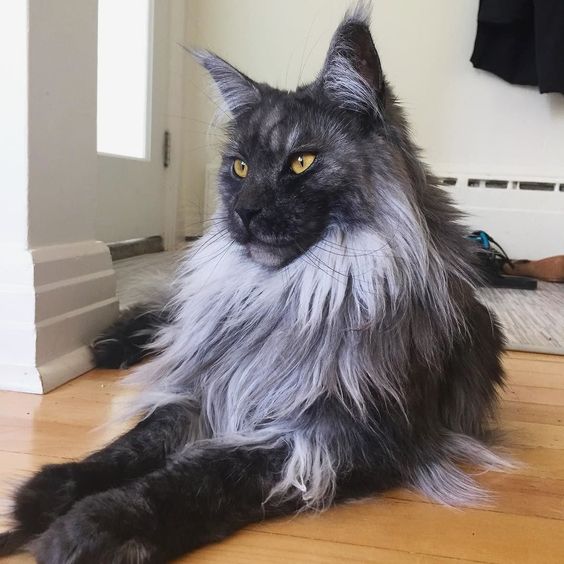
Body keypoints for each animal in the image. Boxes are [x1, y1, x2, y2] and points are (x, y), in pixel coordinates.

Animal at [0, 5, 508, 564]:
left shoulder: (341, 433)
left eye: (301, 162)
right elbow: (135, 443)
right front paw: (50, 492)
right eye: (239, 168)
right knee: (166, 318)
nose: (244, 213)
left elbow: (203, 477)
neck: (287, 296)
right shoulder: (207, 386)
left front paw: (95, 527)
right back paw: (110, 343)